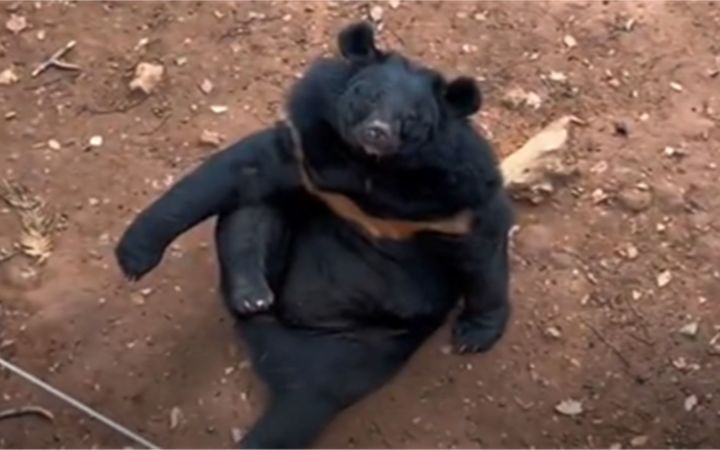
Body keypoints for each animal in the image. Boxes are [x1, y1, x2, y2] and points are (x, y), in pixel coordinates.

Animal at [115, 21, 514, 448]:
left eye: (412, 118)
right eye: (366, 95)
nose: (377, 132)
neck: (372, 169)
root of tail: (277, 351)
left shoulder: (455, 193)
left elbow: (483, 250)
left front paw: (473, 336)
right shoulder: (307, 145)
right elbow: (237, 169)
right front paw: (134, 259)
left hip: (367, 344)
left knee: (320, 393)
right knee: (249, 220)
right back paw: (252, 296)